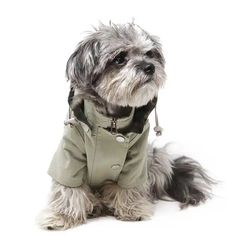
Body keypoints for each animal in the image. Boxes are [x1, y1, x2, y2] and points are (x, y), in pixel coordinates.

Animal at [38, 23, 214, 230]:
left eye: (149, 53)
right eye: (120, 58)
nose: (150, 67)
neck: (111, 125)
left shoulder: (136, 159)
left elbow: (129, 185)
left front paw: (131, 209)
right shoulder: (70, 155)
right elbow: (68, 188)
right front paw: (62, 216)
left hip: (156, 157)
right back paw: (94, 205)